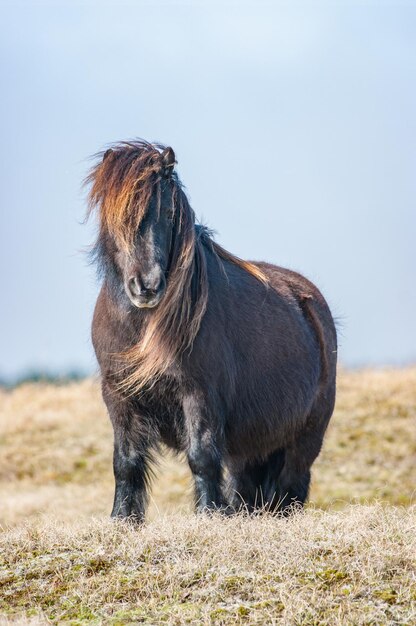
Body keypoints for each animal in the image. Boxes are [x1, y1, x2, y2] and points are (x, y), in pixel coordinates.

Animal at [86, 139, 336, 520]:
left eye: (168, 211)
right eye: (117, 217)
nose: (147, 286)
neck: (143, 330)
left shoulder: (199, 394)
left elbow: (201, 457)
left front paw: (209, 515)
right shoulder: (118, 398)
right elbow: (125, 463)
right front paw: (122, 520)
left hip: (305, 437)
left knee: (291, 482)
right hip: (251, 444)